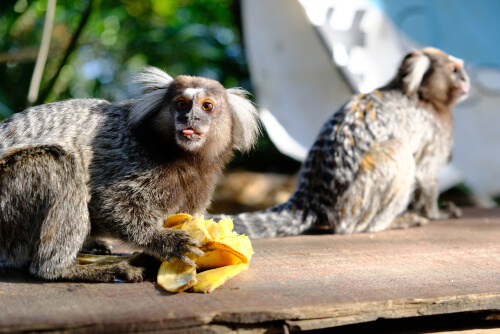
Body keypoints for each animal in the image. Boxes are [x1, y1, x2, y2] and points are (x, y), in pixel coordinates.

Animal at [0, 67, 260, 282]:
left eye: (207, 106)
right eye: (181, 104)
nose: (190, 118)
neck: (183, 158)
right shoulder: (128, 156)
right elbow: (110, 204)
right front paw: (164, 242)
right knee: (58, 163)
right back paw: (69, 269)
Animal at [213, 48, 470, 239]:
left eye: (462, 70)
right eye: (453, 70)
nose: (466, 81)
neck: (422, 96)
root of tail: (311, 200)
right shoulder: (435, 129)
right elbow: (426, 173)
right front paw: (436, 213)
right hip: (354, 203)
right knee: (400, 153)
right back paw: (390, 222)